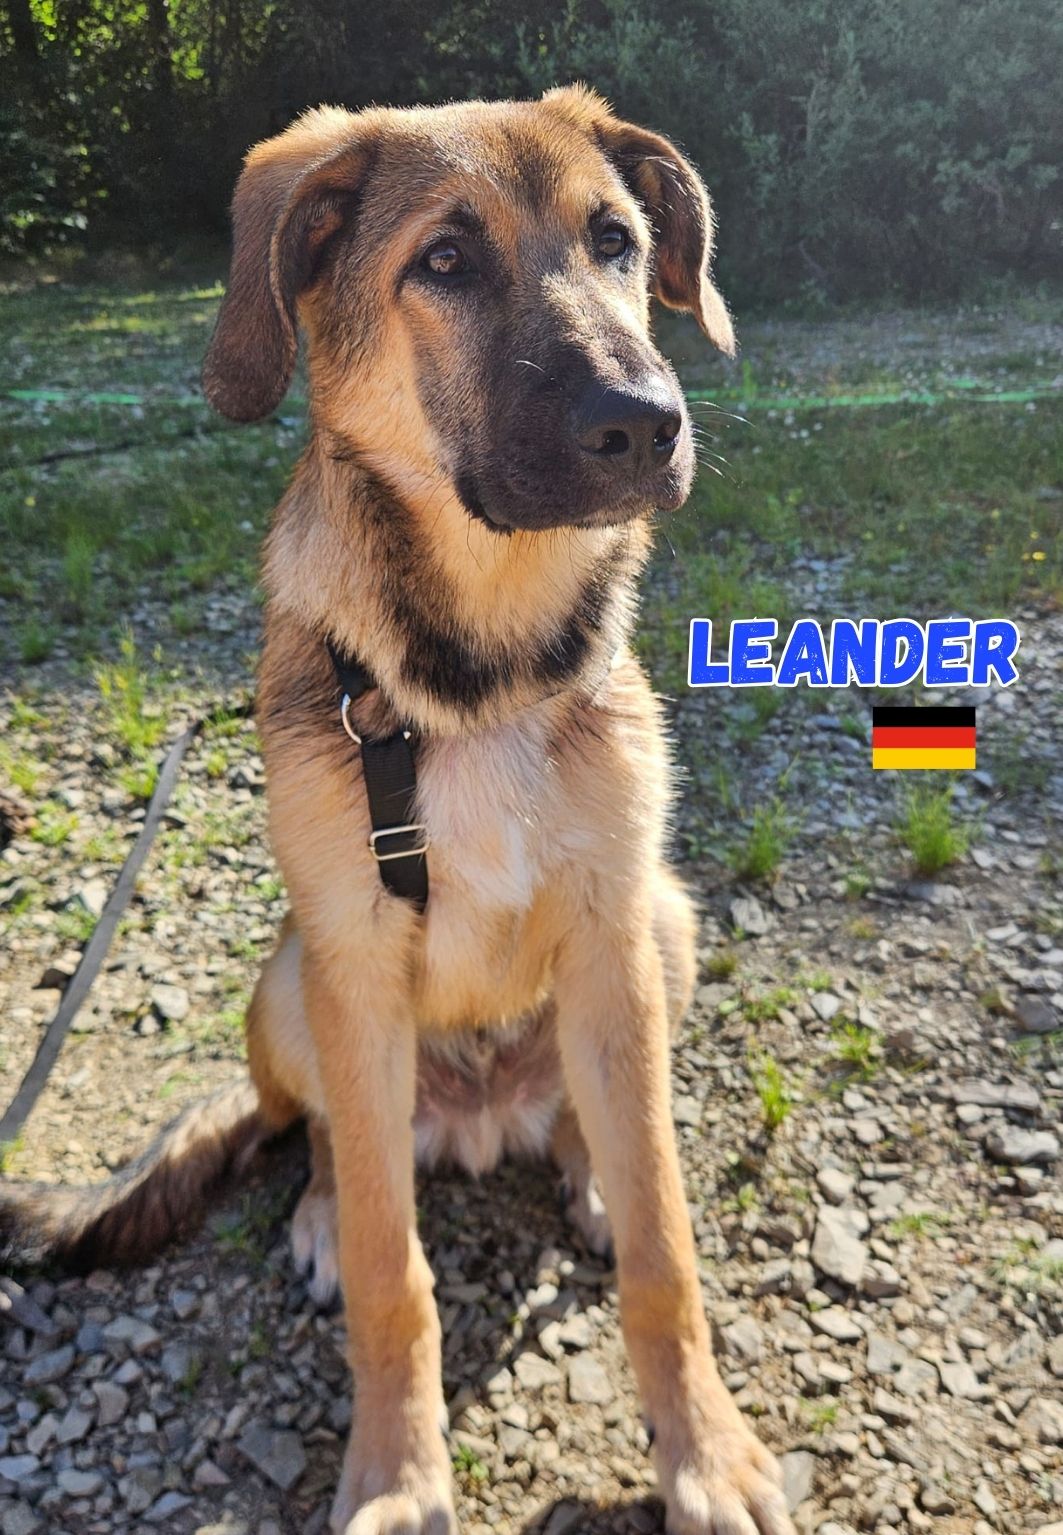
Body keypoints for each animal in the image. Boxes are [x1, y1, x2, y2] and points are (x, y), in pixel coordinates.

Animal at [1, 88, 794, 1535]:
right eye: (444, 260)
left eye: (615, 239)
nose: (642, 423)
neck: (477, 673)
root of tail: (475, 1114)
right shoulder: (357, 963)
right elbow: (392, 1267)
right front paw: (395, 1473)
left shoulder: (611, 923)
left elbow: (665, 1249)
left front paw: (705, 1453)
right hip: (289, 977)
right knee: (324, 1139)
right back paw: (321, 1210)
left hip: (662, 924)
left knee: (599, 1113)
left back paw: (588, 1165)